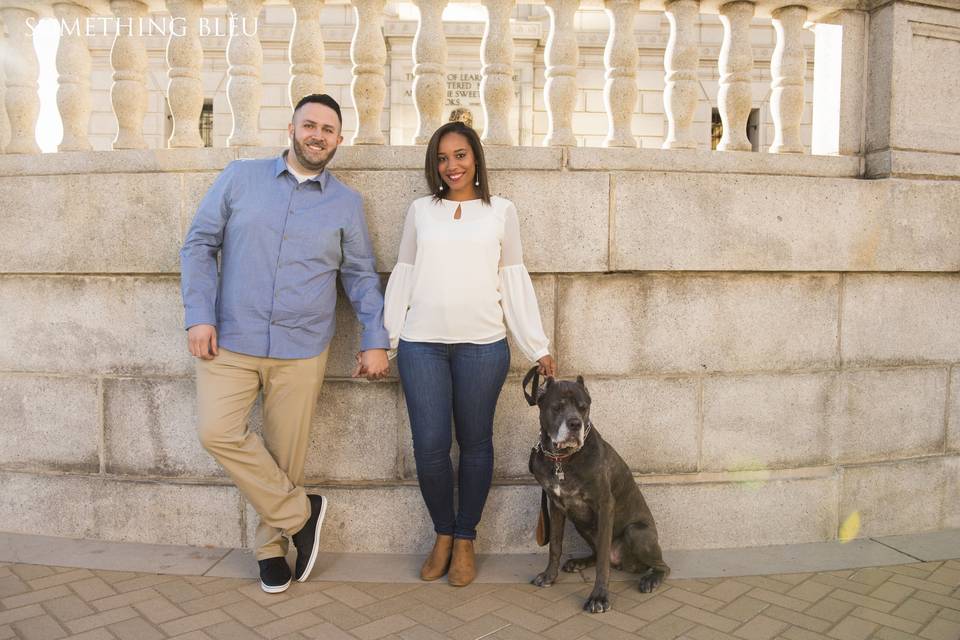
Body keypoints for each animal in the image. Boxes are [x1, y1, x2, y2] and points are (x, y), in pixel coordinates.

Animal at [524, 370, 668, 616]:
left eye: (583, 408)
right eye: (557, 407)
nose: (575, 424)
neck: (563, 459)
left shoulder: (605, 505)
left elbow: (602, 563)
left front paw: (599, 597)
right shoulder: (556, 506)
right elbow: (555, 545)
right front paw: (549, 576)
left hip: (636, 533)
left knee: (660, 566)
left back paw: (651, 579)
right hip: (582, 526)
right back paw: (579, 562)